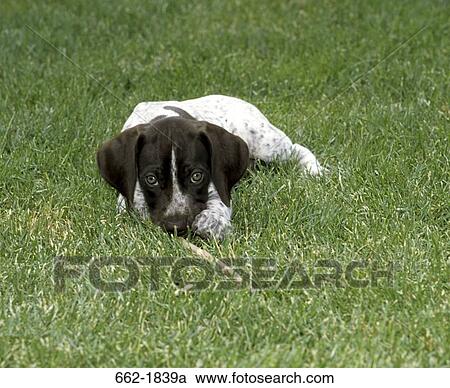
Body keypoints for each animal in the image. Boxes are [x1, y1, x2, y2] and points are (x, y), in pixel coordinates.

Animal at [97, 94, 324, 239]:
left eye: (197, 176)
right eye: (150, 179)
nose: (176, 226)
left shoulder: (218, 183)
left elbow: (219, 204)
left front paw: (211, 222)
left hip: (267, 144)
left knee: (297, 149)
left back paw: (314, 170)